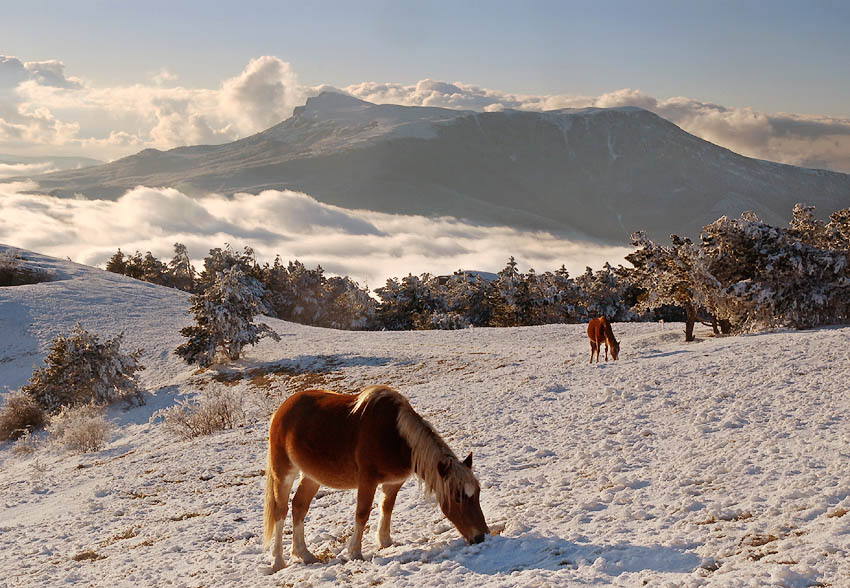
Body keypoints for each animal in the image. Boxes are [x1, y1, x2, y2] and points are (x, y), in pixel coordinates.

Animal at [264, 384, 490, 568]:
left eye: (478, 494)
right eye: (458, 497)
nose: (481, 537)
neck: (397, 437)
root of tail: (281, 410)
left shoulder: (393, 483)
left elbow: (387, 508)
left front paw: (385, 541)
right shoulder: (367, 480)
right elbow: (362, 513)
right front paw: (355, 552)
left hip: (312, 477)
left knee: (299, 506)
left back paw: (304, 554)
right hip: (284, 473)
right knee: (280, 511)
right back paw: (278, 561)